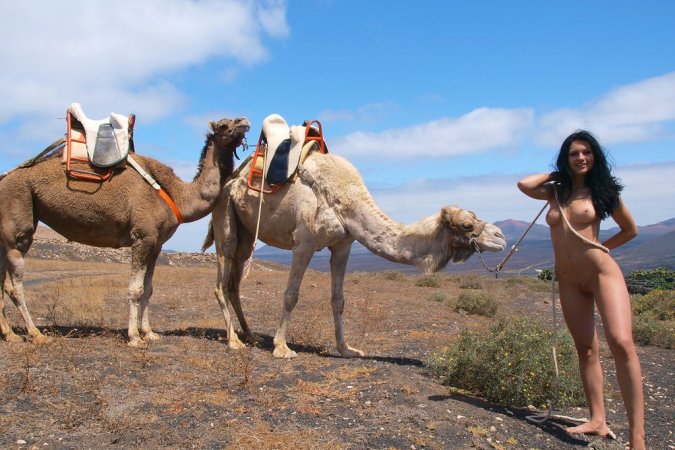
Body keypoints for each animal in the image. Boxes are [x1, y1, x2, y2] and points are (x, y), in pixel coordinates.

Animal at [0, 116, 250, 347]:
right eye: (223, 125)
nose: (244, 122)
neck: (178, 195)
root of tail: (4, 178)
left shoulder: (156, 244)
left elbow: (148, 289)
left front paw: (149, 332)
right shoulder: (142, 236)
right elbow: (136, 289)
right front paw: (135, 337)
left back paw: (10, 334)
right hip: (18, 224)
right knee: (15, 284)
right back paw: (36, 334)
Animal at [202, 149, 506, 358]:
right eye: (467, 225)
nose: (500, 237)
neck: (346, 198)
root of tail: (231, 179)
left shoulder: (343, 246)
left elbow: (338, 300)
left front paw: (347, 349)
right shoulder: (304, 243)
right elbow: (291, 295)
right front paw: (281, 347)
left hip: (246, 233)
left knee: (234, 283)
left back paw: (250, 335)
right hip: (225, 215)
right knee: (221, 279)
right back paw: (234, 341)